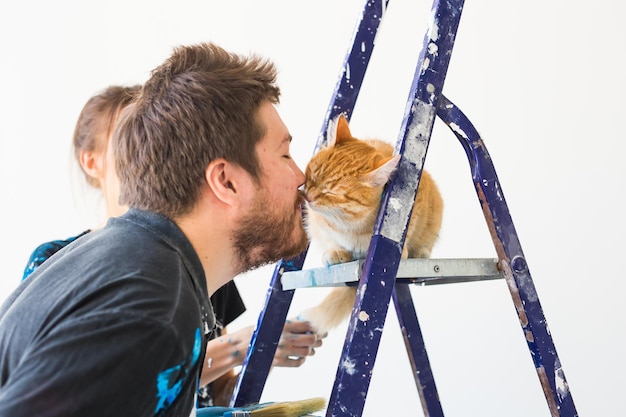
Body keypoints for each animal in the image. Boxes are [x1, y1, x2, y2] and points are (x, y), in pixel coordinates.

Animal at [298, 114, 442, 334]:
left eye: (332, 192)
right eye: (312, 175)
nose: (308, 196)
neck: (350, 225)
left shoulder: (416, 202)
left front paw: (403, 251)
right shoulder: (316, 223)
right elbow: (329, 238)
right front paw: (336, 251)